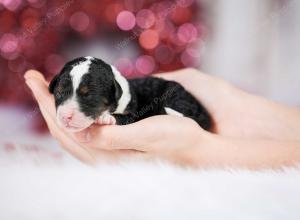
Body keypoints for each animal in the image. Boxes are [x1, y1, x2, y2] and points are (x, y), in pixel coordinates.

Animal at [48, 56, 211, 132]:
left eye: (89, 96)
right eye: (59, 92)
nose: (65, 116)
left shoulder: (134, 113)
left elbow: (125, 117)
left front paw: (106, 118)